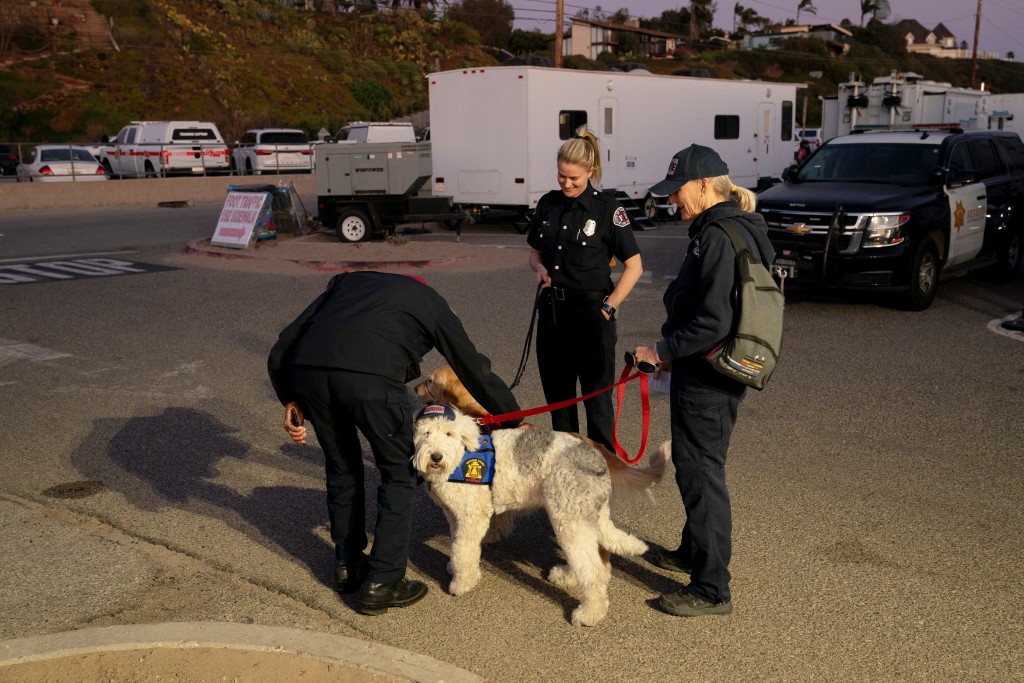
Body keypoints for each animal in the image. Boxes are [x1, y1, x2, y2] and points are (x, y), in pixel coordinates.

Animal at [411, 401, 667, 630]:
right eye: (426, 432)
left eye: (449, 433)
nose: (436, 457)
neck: (460, 456)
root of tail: (596, 455)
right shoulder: (454, 515)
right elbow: (457, 546)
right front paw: (454, 568)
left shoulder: (472, 517)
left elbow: (464, 550)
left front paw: (462, 582)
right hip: (581, 516)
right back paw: (567, 576)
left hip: (569, 518)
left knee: (593, 571)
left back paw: (589, 614)